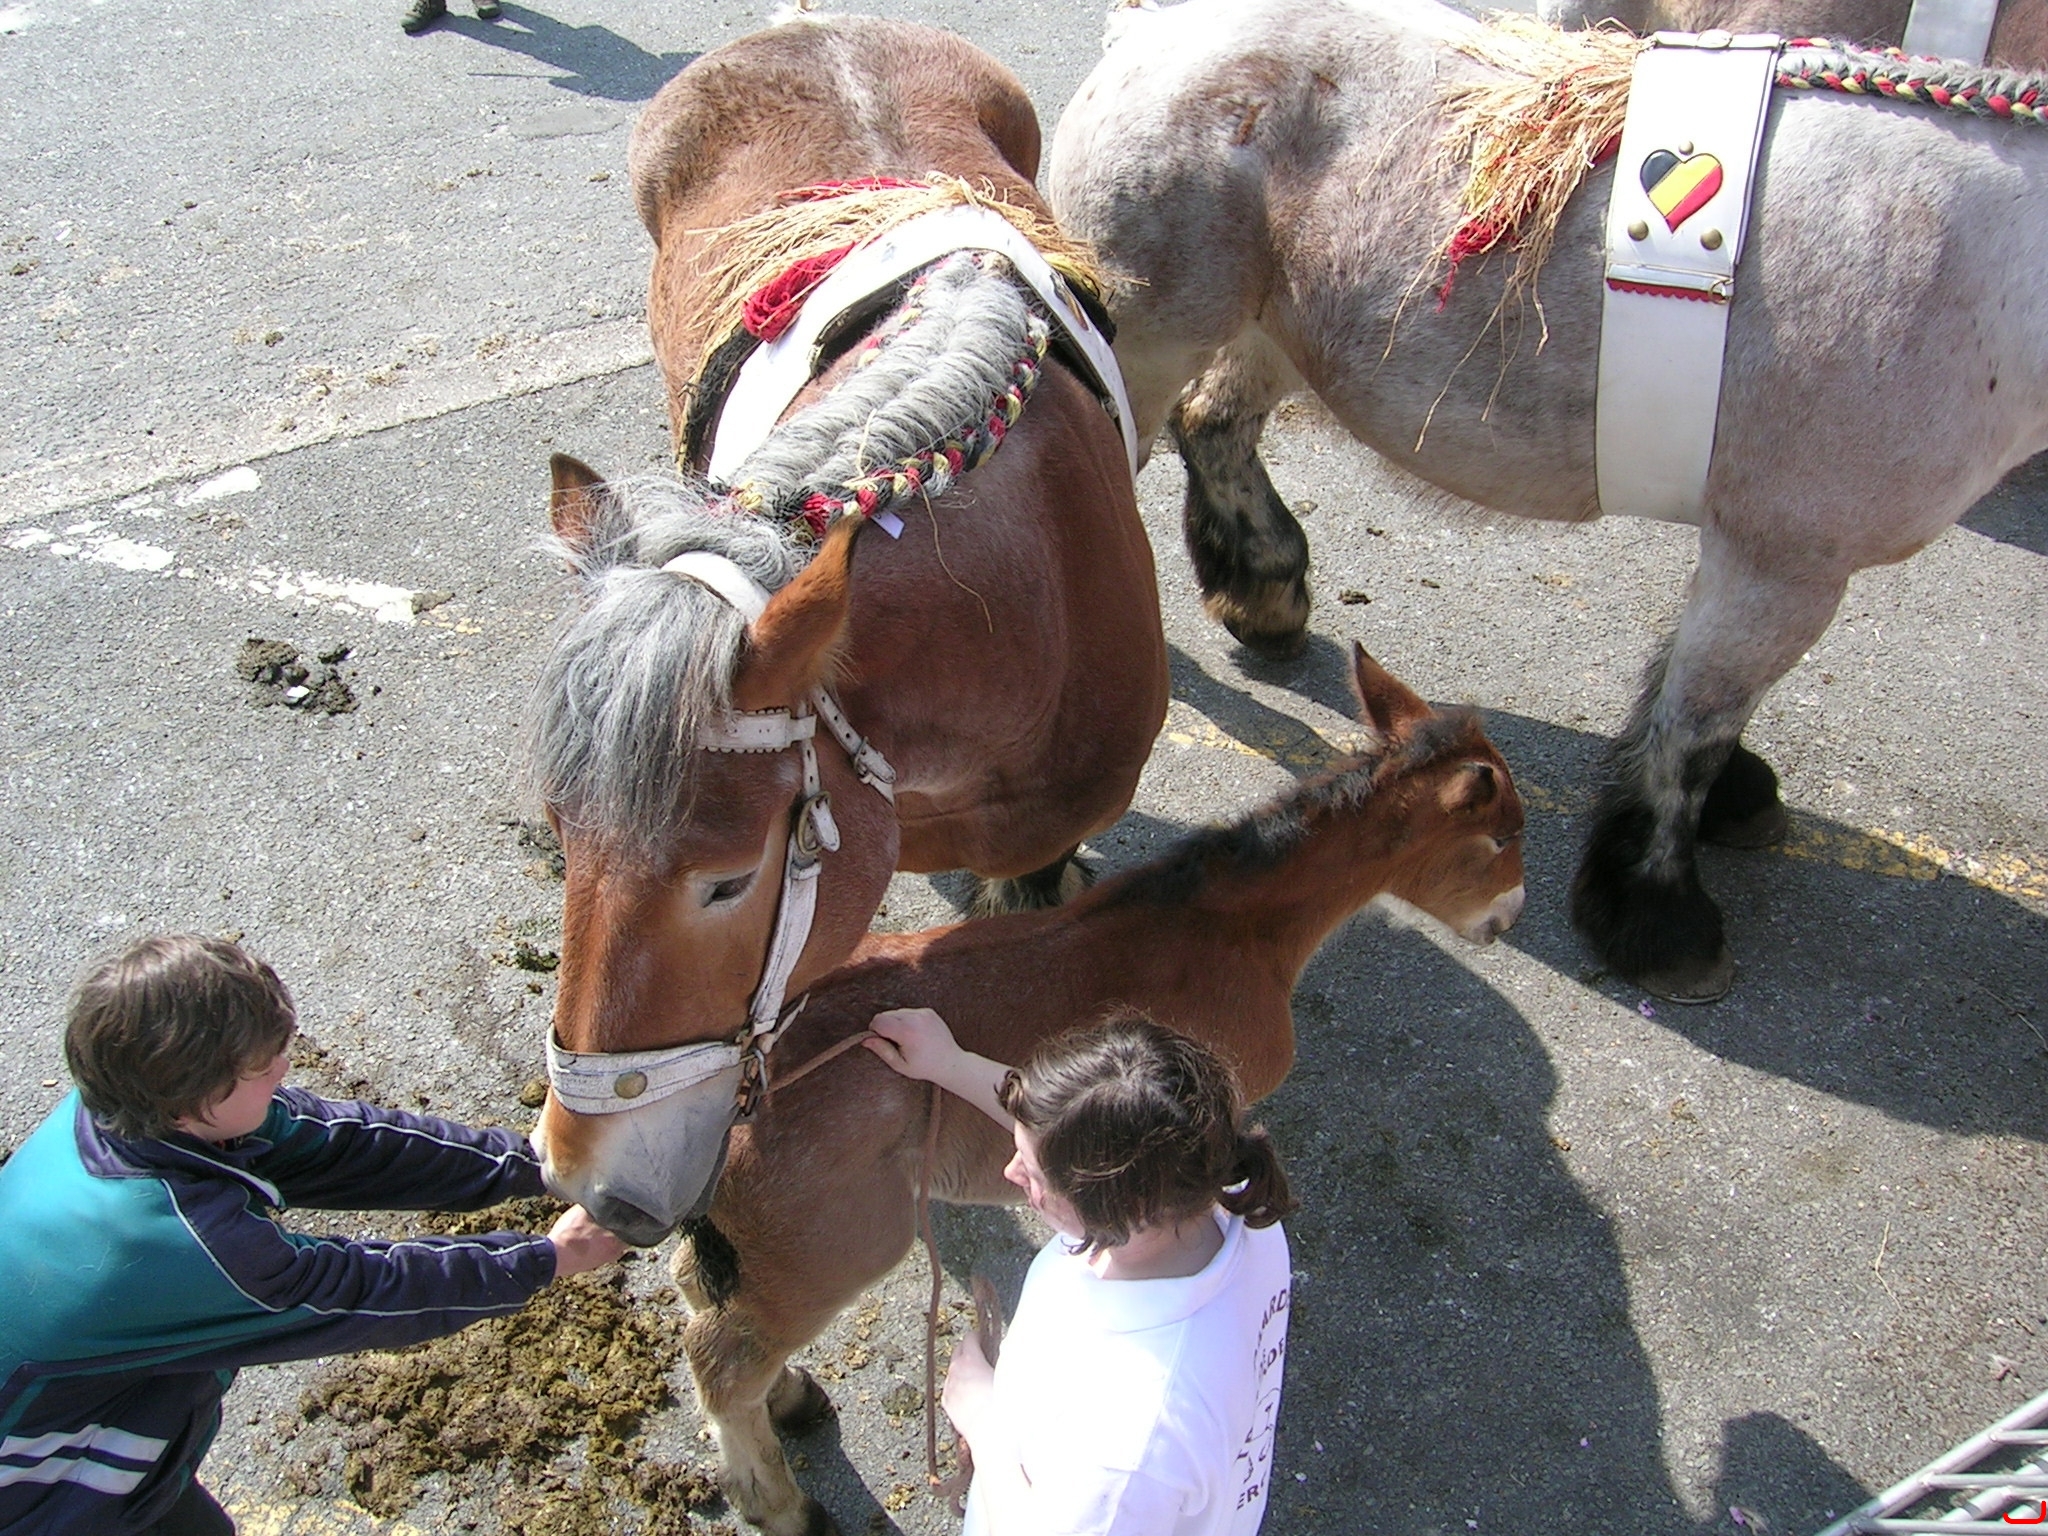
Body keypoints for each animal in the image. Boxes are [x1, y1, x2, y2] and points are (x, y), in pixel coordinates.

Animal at [672, 645, 1526, 1536]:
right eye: (1502, 835)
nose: (1509, 918)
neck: (1227, 929)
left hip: (762, 1247)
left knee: (700, 1290)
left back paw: (792, 1400)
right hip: (836, 1244)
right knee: (721, 1360)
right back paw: (783, 1505)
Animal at [1045, 0, 2048, 1002]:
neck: (1975, 257)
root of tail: (1149, 34)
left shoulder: (1758, 557)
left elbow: (1689, 690)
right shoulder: (1786, 560)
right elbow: (1697, 724)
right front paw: (1659, 913)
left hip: (1274, 328)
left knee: (1217, 425)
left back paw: (1265, 596)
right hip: (1146, 346)